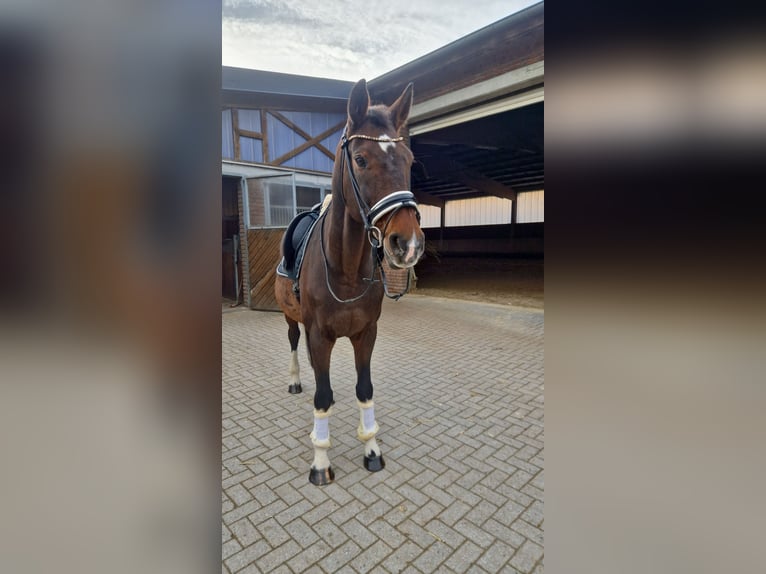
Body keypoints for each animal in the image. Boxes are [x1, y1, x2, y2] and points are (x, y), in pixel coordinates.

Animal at [274, 80, 426, 486]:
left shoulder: (365, 334)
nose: (408, 243)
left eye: (409, 160)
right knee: (294, 345)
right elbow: (321, 396)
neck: (344, 270)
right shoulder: (318, 334)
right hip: (291, 319)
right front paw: (320, 463)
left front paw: (371, 450)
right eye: (360, 159)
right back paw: (296, 381)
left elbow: (363, 389)